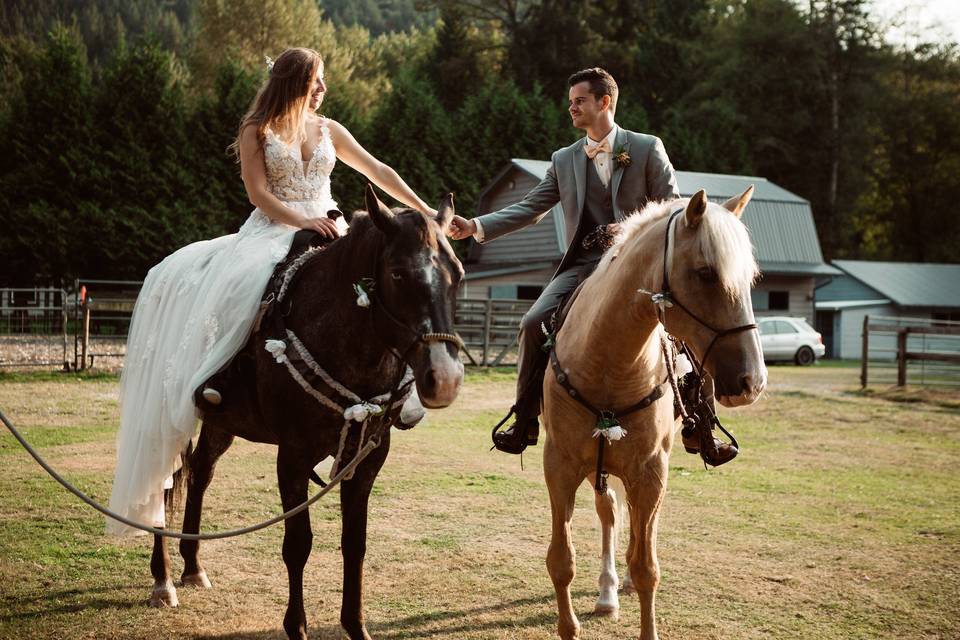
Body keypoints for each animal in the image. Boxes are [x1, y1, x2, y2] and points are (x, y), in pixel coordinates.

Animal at [146, 185, 464, 640]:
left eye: (458, 274)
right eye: (399, 274)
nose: (445, 378)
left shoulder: (367, 458)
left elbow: (355, 542)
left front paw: (355, 625)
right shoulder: (293, 456)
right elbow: (298, 543)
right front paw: (296, 626)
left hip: (219, 422)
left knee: (201, 473)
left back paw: (192, 565)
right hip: (164, 413)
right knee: (160, 481)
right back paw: (163, 579)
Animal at [540, 189, 764, 640]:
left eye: (750, 278)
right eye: (705, 273)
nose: (752, 380)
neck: (609, 361)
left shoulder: (649, 470)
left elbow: (646, 566)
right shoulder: (560, 466)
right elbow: (562, 559)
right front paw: (572, 620)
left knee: (642, 527)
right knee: (610, 512)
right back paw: (608, 592)